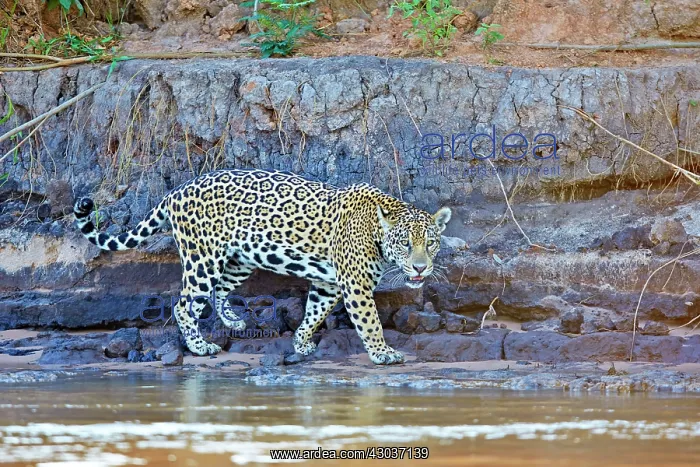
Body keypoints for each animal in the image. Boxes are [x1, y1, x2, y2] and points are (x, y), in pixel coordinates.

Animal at [73, 169, 451, 365]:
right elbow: (370, 322)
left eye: (431, 243)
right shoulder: (355, 285)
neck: (377, 230)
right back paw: (200, 347)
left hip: (241, 258)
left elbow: (314, 312)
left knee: (221, 290)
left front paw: (301, 343)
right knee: (184, 304)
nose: (421, 269)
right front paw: (383, 353)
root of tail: (175, 191)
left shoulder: (329, 283)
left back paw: (233, 321)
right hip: (202, 259)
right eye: (405, 244)